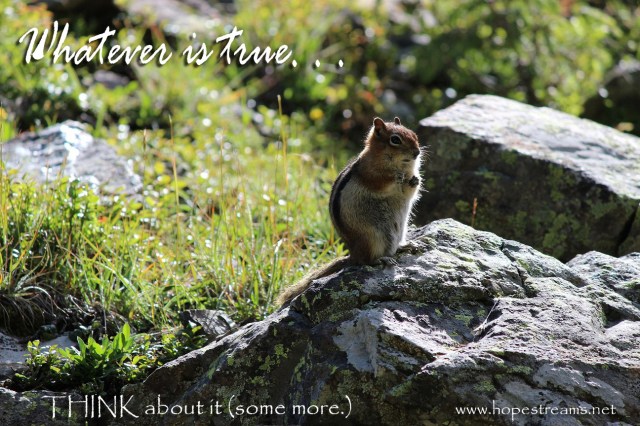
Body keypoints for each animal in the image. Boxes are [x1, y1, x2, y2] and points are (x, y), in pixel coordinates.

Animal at [277, 116, 422, 306]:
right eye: (395, 140)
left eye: (414, 134)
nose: (417, 152)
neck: (400, 165)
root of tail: (352, 254)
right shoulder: (369, 174)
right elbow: (382, 181)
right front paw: (395, 177)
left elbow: (409, 190)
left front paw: (415, 180)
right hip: (372, 238)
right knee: (365, 261)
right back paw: (381, 259)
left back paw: (407, 245)